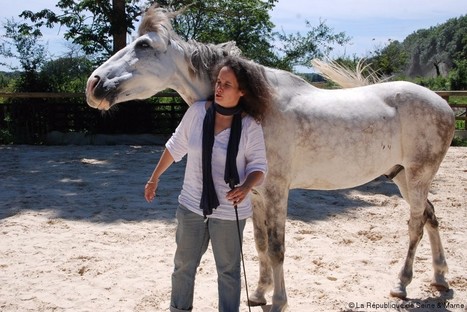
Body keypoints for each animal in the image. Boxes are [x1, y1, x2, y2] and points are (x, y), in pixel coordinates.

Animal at [84, 4, 454, 312]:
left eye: (144, 45)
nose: (93, 83)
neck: (257, 108)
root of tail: (445, 105)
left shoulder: (276, 191)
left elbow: (277, 248)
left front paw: (278, 301)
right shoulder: (256, 194)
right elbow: (260, 245)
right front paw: (259, 294)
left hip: (417, 177)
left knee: (416, 224)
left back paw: (402, 285)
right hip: (401, 176)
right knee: (431, 216)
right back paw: (440, 279)